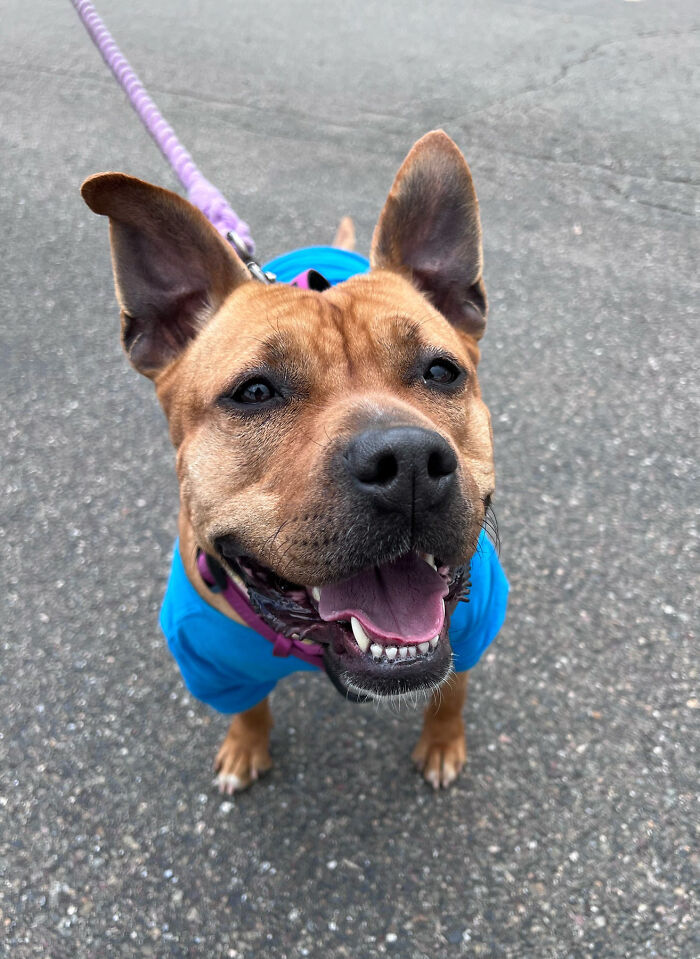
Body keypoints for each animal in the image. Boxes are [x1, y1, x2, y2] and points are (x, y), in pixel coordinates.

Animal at [82, 131, 508, 792]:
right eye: (255, 391)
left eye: (441, 372)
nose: (408, 461)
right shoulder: (214, 664)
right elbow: (249, 708)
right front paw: (245, 747)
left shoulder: (472, 627)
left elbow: (451, 694)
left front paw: (442, 742)